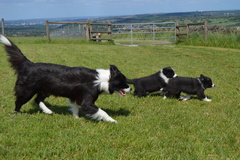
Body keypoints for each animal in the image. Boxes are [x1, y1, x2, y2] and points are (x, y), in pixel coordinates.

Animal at [0, 34, 131, 122]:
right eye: (123, 82)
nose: (130, 89)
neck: (103, 80)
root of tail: (28, 64)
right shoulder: (87, 101)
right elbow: (101, 111)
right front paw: (113, 120)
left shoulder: (77, 96)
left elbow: (76, 108)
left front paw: (76, 118)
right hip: (27, 90)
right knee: (18, 102)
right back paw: (17, 113)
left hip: (46, 90)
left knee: (37, 100)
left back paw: (48, 111)